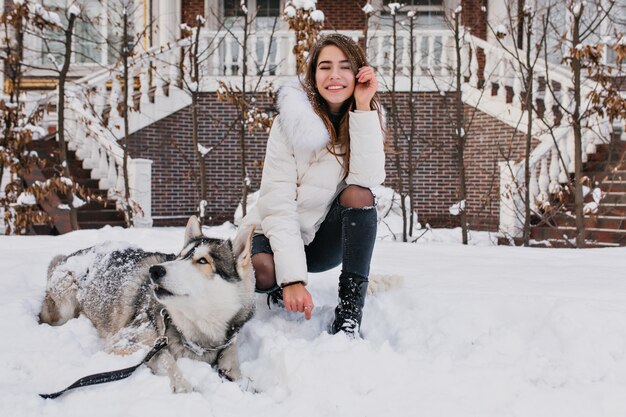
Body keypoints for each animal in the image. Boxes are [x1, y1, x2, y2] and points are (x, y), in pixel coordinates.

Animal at [39, 216, 254, 392]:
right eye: (180, 256)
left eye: (203, 261)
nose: (155, 270)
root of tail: (66, 257)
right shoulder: (125, 342)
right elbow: (165, 358)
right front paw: (182, 386)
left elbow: (232, 352)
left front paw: (238, 377)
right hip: (64, 306)